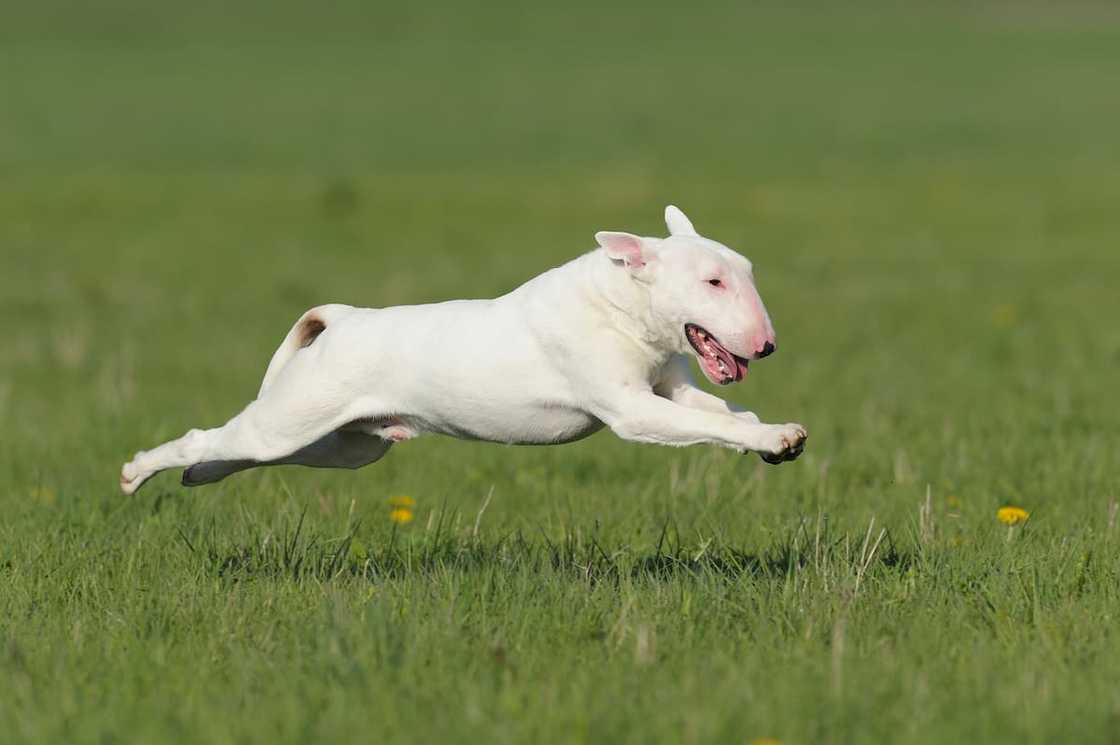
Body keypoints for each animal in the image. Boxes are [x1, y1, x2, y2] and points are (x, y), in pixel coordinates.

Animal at [120, 205, 806, 492]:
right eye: (712, 282)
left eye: (745, 271)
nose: (769, 345)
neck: (619, 305)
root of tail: (341, 320)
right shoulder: (631, 409)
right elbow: (705, 424)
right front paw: (773, 439)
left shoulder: (673, 386)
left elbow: (723, 412)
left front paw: (778, 436)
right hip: (292, 418)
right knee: (213, 437)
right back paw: (137, 473)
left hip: (348, 445)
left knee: (246, 453)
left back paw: (199, 476)